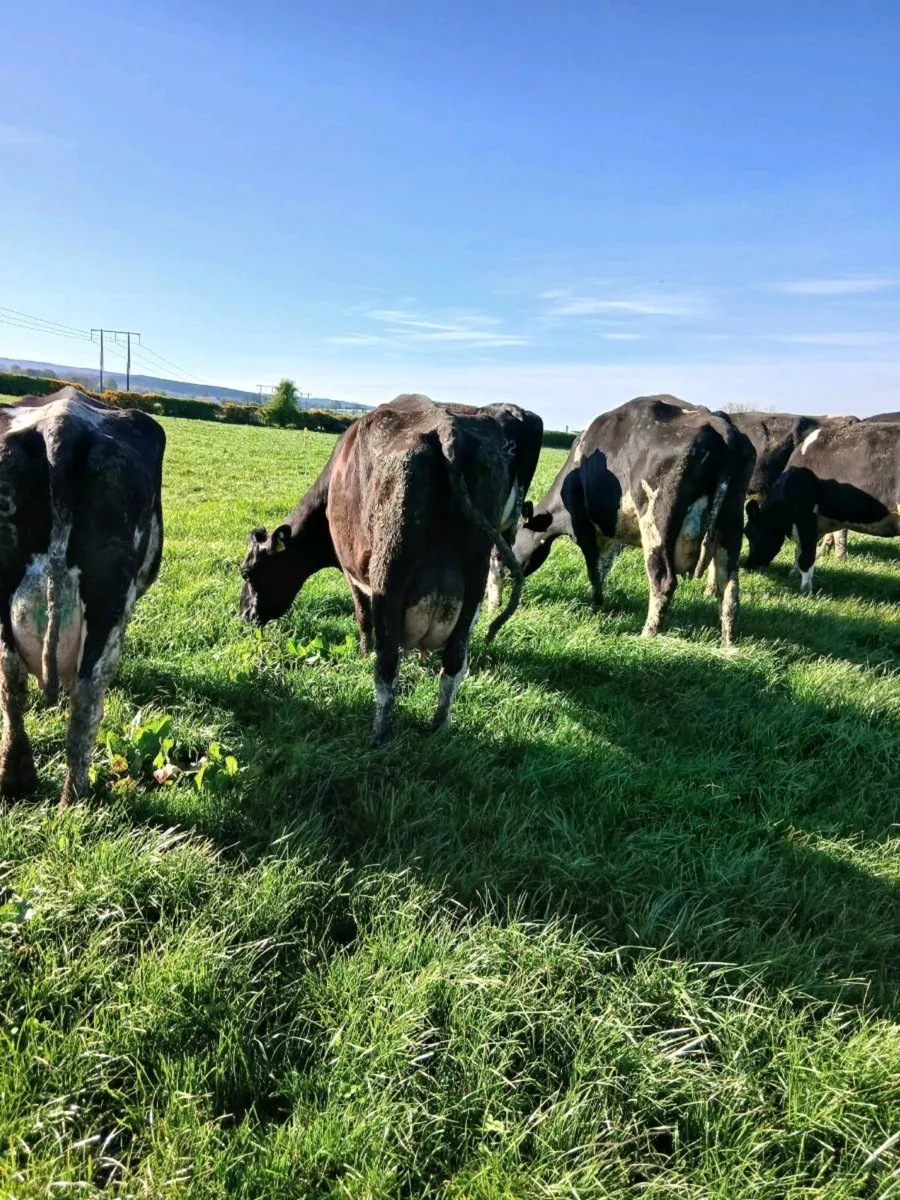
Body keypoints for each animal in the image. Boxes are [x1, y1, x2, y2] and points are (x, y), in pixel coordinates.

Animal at [0, 388, 165, 808]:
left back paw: (28, 784)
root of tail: (61, 425)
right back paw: (65, 794)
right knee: (82, 689)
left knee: (14, 680)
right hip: (109, 603)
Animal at [239, 394, 543, 744]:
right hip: (473, 579)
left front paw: (362, 652)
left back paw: (379, 736)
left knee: (386, 667)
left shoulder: (353, 572)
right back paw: (438, 728)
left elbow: (362, 617)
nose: (243, 614)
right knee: (454, 662)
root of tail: (446, 428)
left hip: (389, 577)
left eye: (247, 572)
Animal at [510, 395, 755, 645]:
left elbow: (594, 570)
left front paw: (596, 606)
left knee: (663, 580)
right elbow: (604, 566)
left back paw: (647, 635)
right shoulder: (611, 534)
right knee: (729, 587)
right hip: (731, 525)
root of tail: (720, 425)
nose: (509, 576)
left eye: (514, 538)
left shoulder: (583, 527)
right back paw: (727, 642)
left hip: (656, 524)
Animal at [744, 420, 900, 590]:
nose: (747, 565)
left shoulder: (805, 517)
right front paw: (793, 575)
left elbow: (806, 557)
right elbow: (799, 551)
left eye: (748, 532)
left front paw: (805, 589)